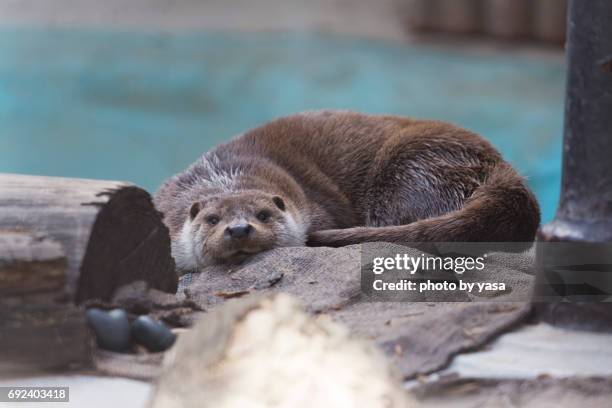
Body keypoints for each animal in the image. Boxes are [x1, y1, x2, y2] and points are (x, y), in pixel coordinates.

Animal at [154, 110, 540, 272]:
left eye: (264, 213)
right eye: (211, 218)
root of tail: (497, 162)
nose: (238, 229)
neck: (226, 173)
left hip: (411, 165)